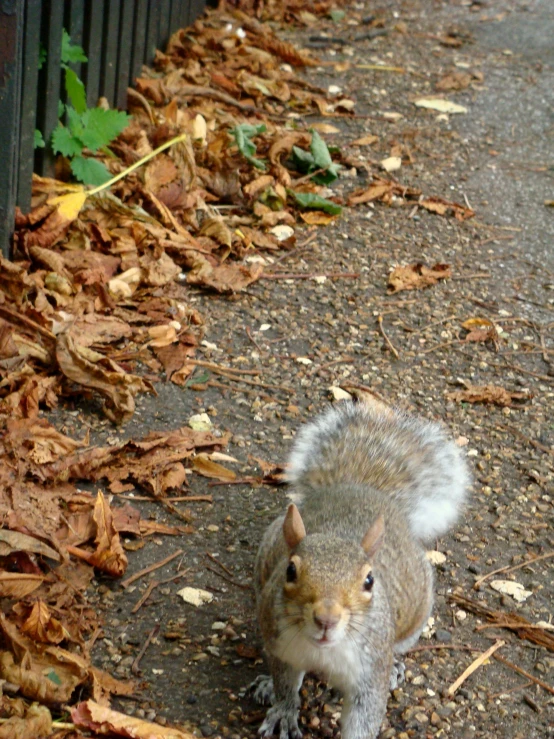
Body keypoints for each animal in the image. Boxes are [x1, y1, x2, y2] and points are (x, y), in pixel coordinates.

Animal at [252, 398, 468, 739]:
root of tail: (361, 488)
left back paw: (396, 668)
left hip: (415, 616)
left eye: (369, 581)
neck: (324, 651)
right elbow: (286, 685)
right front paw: (283, 711)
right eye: (290, 571)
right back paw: (266, 685)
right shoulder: (282, 647)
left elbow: (364, 716)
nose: (326, 619)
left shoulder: (370, 672)